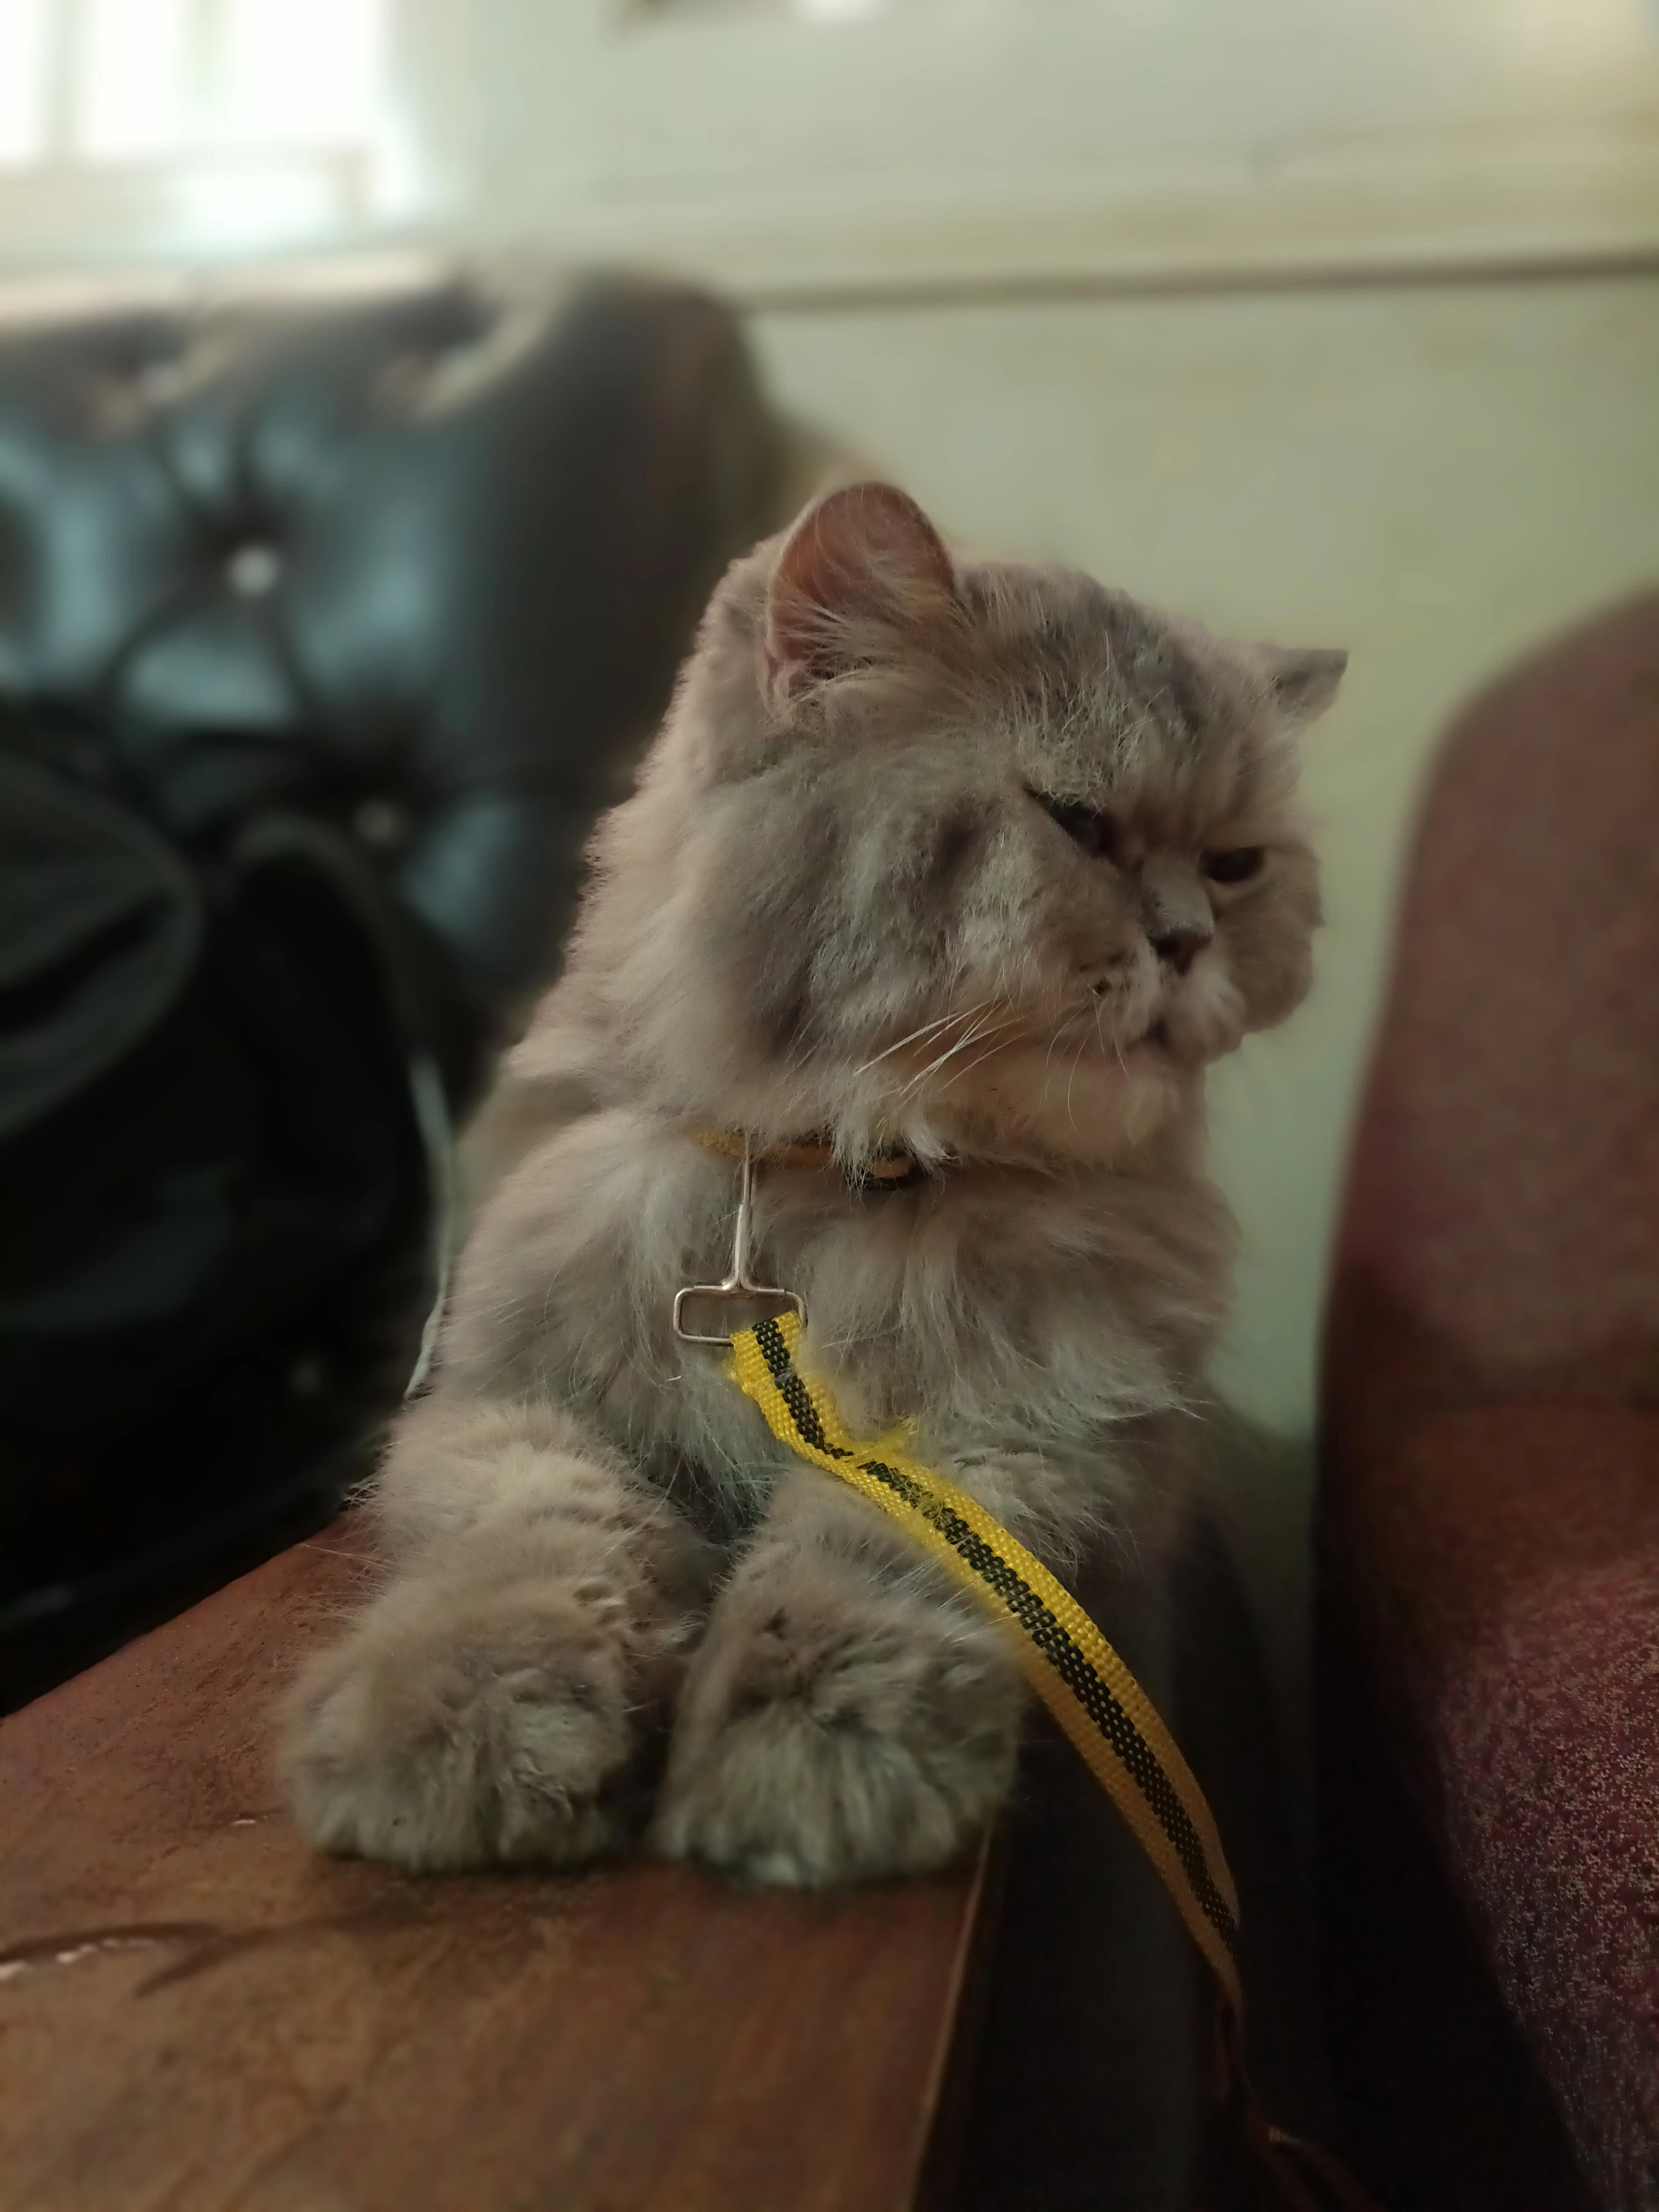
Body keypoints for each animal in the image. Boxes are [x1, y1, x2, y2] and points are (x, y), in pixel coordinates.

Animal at [283, 480, 1354, 1884]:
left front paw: (807, 1755)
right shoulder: (514, 1403)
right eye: (1078, 823)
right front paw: (474, 1722)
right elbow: (528, 1542)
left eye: (1236, 865)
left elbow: (869, 1555)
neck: (844, 1179)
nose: (1189, 940)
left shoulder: (1029, 1423)